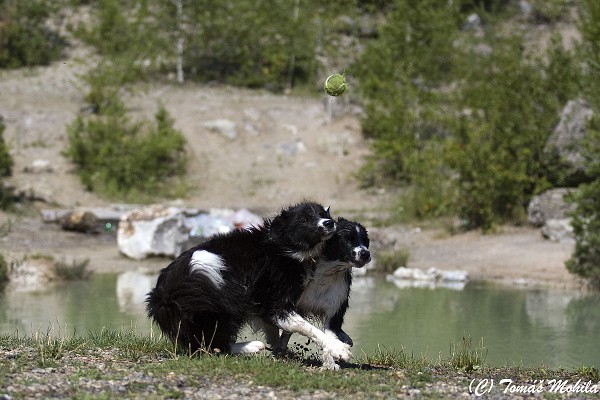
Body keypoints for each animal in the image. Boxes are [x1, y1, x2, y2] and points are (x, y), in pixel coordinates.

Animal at [274, 219, 370, 368]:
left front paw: (331, 361)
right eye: (348, 239)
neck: (327, 272)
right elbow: (306, 328)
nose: (366, 254)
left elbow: (329, 335)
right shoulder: (285, 307)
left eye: (366, 241)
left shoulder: (334, 312)